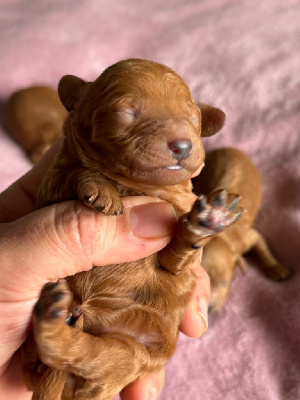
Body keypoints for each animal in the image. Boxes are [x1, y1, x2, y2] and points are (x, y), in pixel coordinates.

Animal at [20, 57, 244, 398]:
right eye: (126, 112)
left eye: (193, 118)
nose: (182, 145)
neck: (134, 186)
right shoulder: (51, 184)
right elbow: (78, 172)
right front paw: (100, 189)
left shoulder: (182, 251)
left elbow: (179, 259)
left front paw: (205, 223)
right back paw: (51, 317)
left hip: (128, 353)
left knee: (85, 353)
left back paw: (53, 321)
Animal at [192, 148, 290, 310]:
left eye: (224, 282)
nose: (209, 308)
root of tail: (225, 148)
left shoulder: (248, 237)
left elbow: (262, 248)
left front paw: (276, 268)